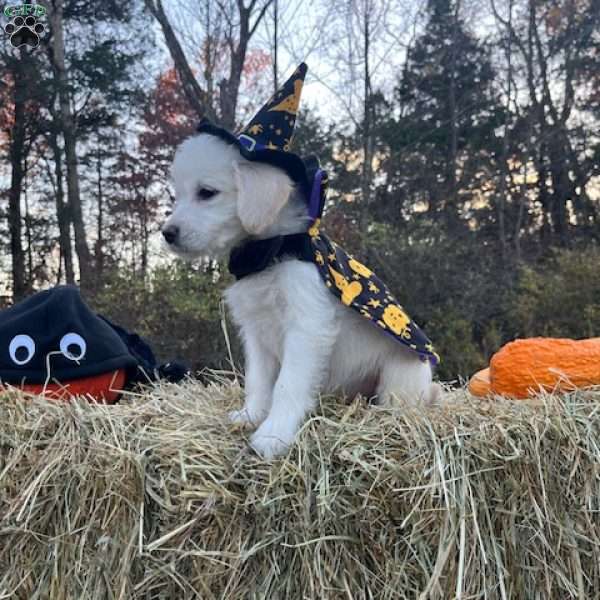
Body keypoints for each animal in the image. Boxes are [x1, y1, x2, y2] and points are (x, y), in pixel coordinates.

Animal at [162, 132, 438, 460]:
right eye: (176, 195)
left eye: (207, 192)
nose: (167, 233)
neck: (272, 251)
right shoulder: (256, 334)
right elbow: (258, 381)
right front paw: (251, 415)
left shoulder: (306, 328)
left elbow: (287, 385)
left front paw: (273, 435)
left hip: (399, 377)